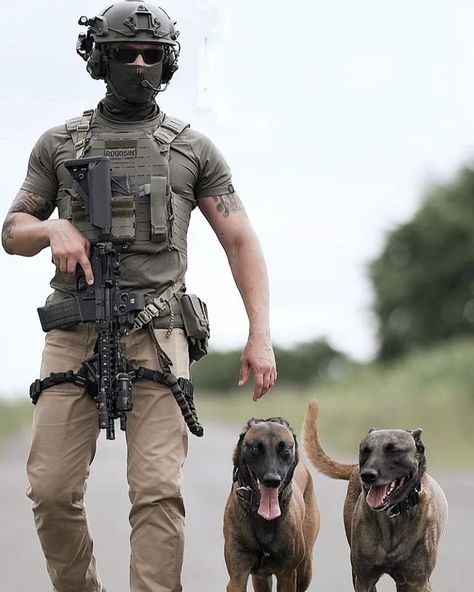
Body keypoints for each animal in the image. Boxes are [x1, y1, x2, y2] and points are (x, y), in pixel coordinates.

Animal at [222, 416, 318, 592]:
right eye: (256, 448)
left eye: (285, 450)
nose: (272, 480)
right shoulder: (237, 577)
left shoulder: (287, 575)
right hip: (261, 579)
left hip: (305, 569)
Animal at [302, 400, 446, 588]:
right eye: (365, 450)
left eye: (393, 450)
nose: (367, 475)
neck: (394, 514)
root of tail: (355, 467)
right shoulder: (364, 578)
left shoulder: (417, 581)